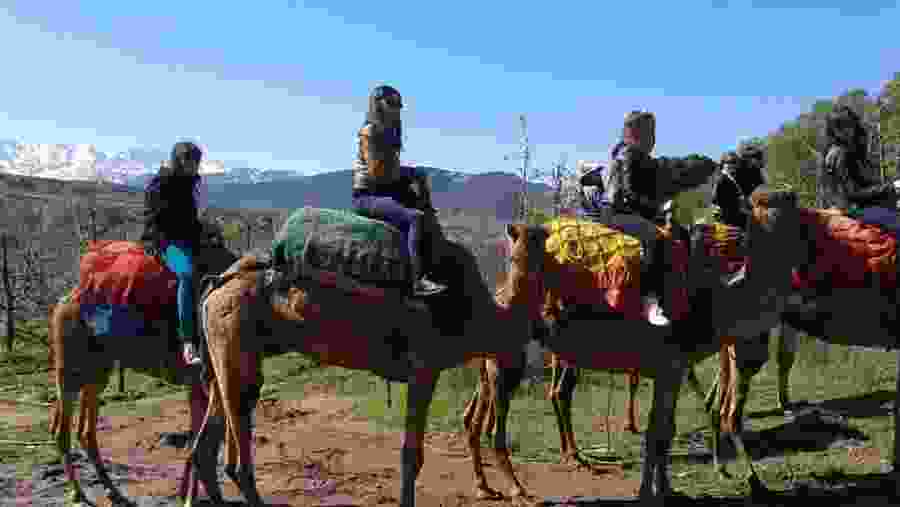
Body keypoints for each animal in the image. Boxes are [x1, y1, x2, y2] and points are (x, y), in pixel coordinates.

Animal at [49, 233, 239, 507]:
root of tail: (67, 296)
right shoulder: (199, 379)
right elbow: (199, 443)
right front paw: (190, 498)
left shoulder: (205, 383)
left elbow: (199, 441)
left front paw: (187, 494)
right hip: (70, 364)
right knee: (62, 429)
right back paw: (78, 494)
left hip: (98, 367)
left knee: (85, 430)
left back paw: (114, 493)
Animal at [191, 207, 543, 507]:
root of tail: (216, 286)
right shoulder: (424, 369)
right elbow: (412, 455)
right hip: (235, 341)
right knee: (238, 441)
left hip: (224, 348)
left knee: (205, 445)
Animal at [460, 186, 808, 502]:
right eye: (772, 203)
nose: (794, 195)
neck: (714, 302)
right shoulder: (669, 365)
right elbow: (656, 434)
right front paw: (649, 493)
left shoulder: (672, 370)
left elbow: (663, 431)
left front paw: (666, 489)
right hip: (509, 357)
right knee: (497, 426)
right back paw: (517, 488)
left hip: (495, 355)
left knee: (477, 415)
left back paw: (485, 486)